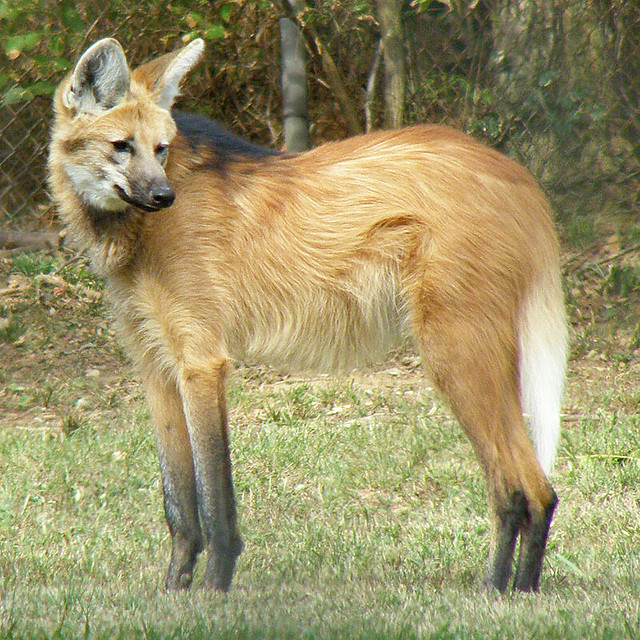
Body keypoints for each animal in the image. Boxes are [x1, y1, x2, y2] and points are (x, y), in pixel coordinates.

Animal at [48, 37, 567, 594]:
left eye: (160, 149)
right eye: (122, 146)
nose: (164, 197)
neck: (134, 232)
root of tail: (520, 174)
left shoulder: (201, 361)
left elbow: (213, 500)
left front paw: (212, 592)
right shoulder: (157, 366)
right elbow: (179, 506)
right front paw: (173, 592)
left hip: (454, 351)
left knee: (527, 489)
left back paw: (502, 594)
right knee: (524, 486)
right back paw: (509, 588)